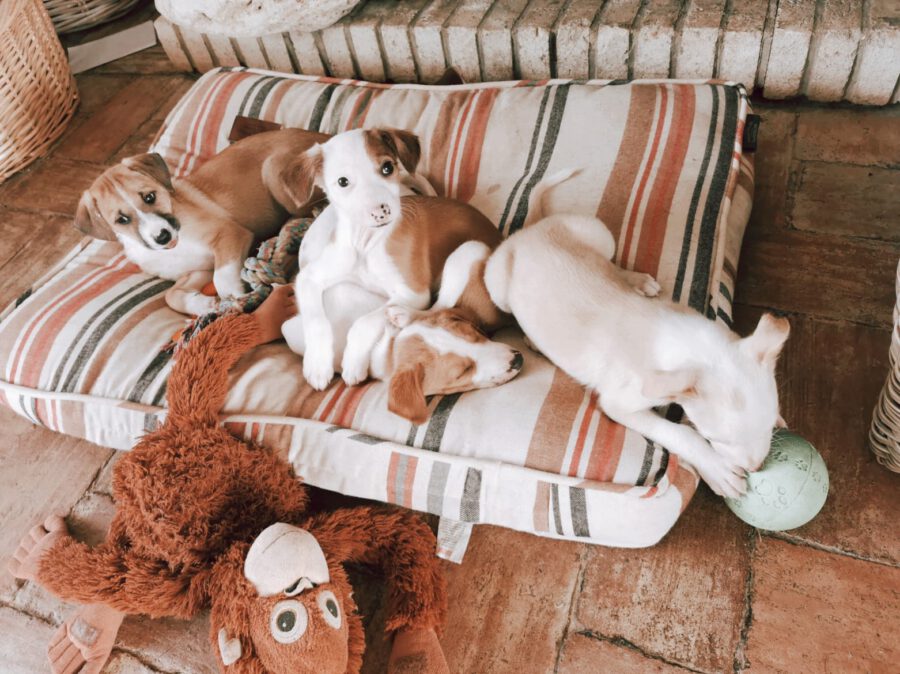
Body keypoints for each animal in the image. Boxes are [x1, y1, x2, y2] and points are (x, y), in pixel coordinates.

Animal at [74, 128, 327, 314]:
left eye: (149, 197)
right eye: (122, 219)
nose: (162, 236)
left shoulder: (231, 235)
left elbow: (222, 278)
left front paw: (239, 299)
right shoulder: (198, 270)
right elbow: (171, 296)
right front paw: (204, 305)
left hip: (273, 170)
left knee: (313, 208)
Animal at [279, 127, 505, 391]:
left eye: (387, 168)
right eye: (343, 182)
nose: (382, 211)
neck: (366, 245)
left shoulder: (414, 293)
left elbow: (365, 321)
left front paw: (353, 362)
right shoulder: (309, 277)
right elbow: (316, 320)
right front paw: (317, 365)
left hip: (467, 250)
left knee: (440, 308)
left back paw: (402, 315)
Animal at [484, 213, 789, 498]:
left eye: (767, 425)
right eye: (713, 437)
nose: (756, 468)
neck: (689, 343)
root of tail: (528, 232)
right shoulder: (618, 404)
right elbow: (681, 433)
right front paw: (717, 470)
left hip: (598, 233)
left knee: (610, 263)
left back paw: (638, 281)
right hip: (496, 285)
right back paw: (531, 339)